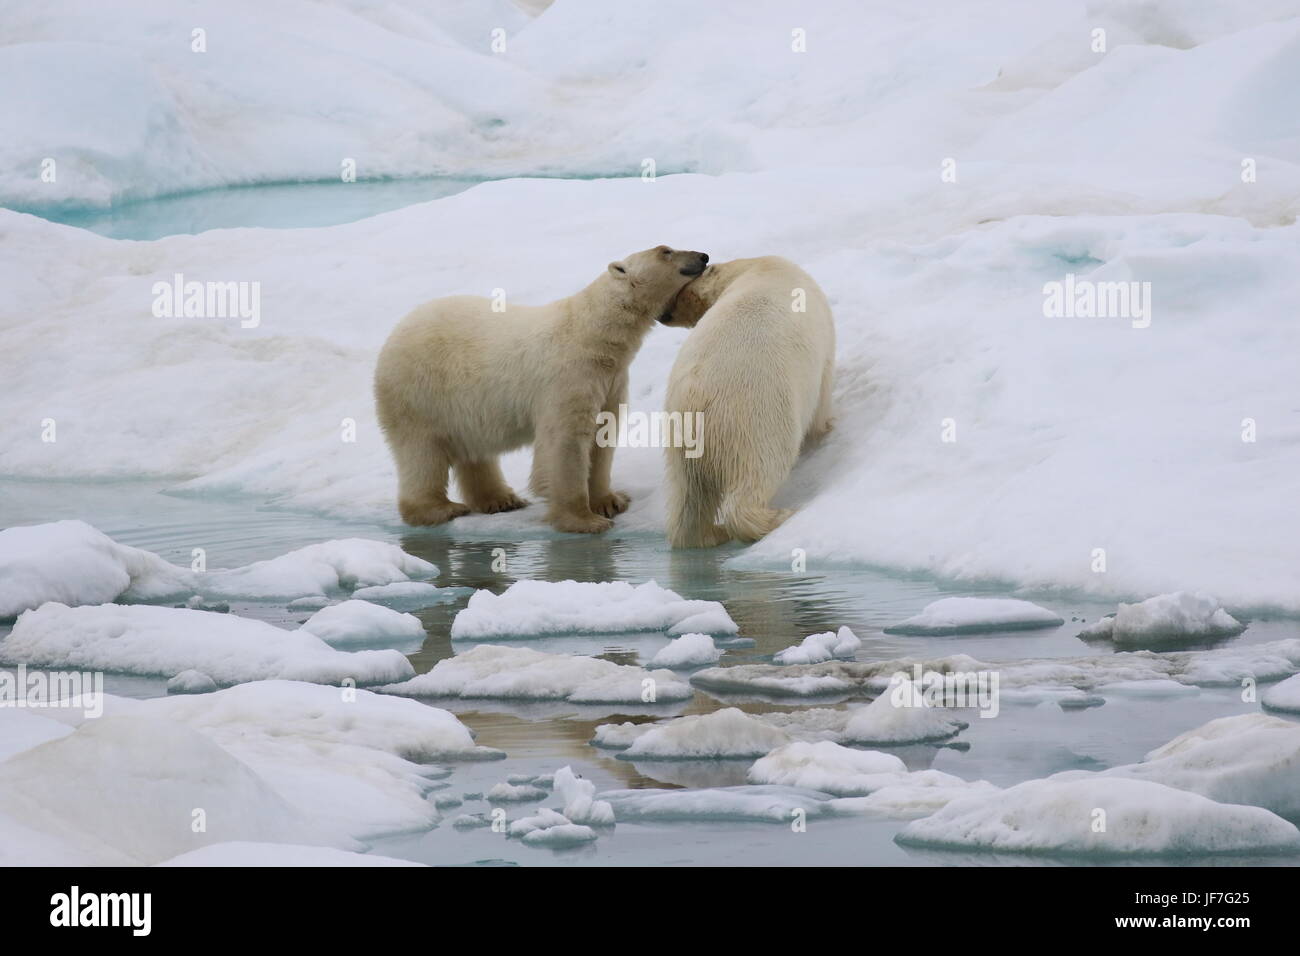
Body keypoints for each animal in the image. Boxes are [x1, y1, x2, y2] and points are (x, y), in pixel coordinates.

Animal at [377, 243, 712, 535]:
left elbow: (603, 434)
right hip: (418, 390)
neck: (593, 334)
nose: (703, 256)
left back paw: (502, 500)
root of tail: (395, 331)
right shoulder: (568, 376)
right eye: (666, 250)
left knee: (474, 449)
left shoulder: (611, 380)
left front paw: (610, 501)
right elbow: (564, 441)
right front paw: (584, 520)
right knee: (421, 451)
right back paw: (438, 509)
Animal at [660, 257, 832, 548]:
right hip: (756, 415)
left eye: (678, 293)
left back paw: (709, 534)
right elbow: (822, 396)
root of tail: (695, 399)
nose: (663, 314)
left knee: (688, 496)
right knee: (759, 474)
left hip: (678, 442)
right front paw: (826, 430)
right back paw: (777, 516)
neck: (756, 268)